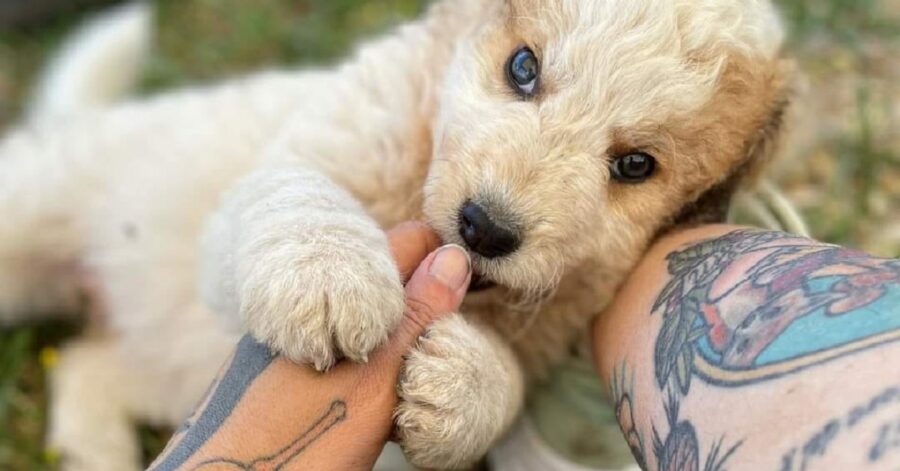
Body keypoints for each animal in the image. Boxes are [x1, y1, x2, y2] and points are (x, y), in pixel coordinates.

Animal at [0, 1, 792, 470]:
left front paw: (463, 383)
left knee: (87, 366)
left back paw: (93, 451)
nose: (484, 227)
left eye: (635, 165)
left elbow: (505, 378)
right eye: (524, 67)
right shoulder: (286, 172)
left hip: (160, 366)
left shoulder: (546, 335)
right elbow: (298, 194)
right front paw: (329, 278)